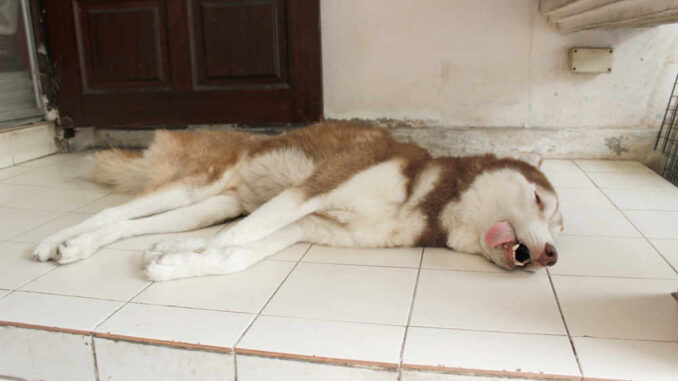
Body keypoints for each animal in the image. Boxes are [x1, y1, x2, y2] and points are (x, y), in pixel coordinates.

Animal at [30, 123, 564, 280]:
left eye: (560, 230)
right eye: (541, 200)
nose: (552, 255)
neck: (425, 197)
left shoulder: (306, 227)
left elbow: (234, 253)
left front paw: (177, 261)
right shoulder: (311, 191)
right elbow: (234, 240)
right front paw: (177, 260)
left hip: (213, 204)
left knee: (126, 225)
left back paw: (80, 246)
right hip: (197, 183)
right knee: (112, 211)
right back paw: (57, 242)